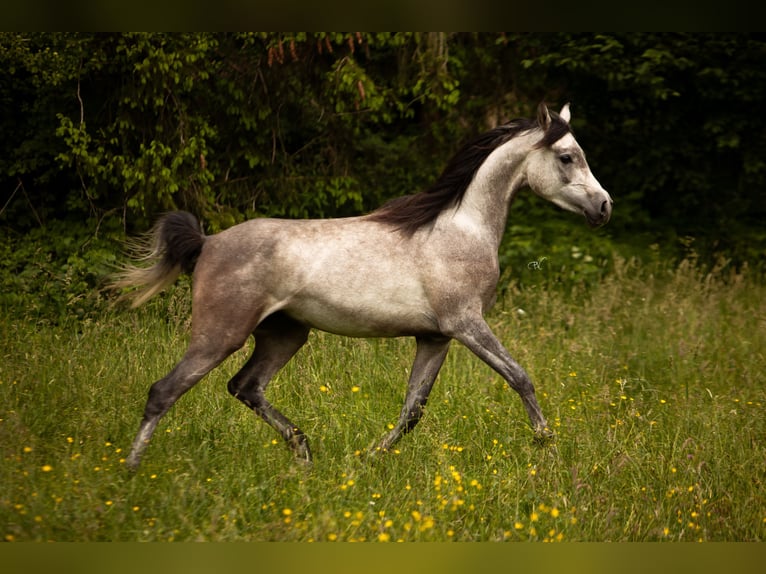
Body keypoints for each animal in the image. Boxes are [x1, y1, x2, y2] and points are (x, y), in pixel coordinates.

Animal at [116, 103, 612, 470]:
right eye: (567, 157)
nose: (604, 207)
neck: (462, 230)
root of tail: (207, 242)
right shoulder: (467, 324)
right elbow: (520, 378)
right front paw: (548, 446)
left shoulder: (435, 337)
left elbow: (413, 409)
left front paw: (370, 456)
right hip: (221, 333)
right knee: (164, 391)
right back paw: (131, 473)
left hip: (285, 334)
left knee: (245, 386)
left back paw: (304, 453)